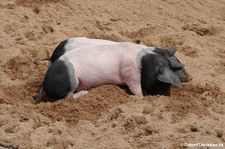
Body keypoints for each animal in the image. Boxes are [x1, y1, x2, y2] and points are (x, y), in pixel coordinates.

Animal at [36, 42, 182, 102]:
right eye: (163, 82)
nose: (167, 95)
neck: (143, 62)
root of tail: (45, 82)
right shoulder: (130, 73)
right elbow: (137, 91)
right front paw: (138, 96)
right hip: (71, 80)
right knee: (66, 97)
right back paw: (84, 93)